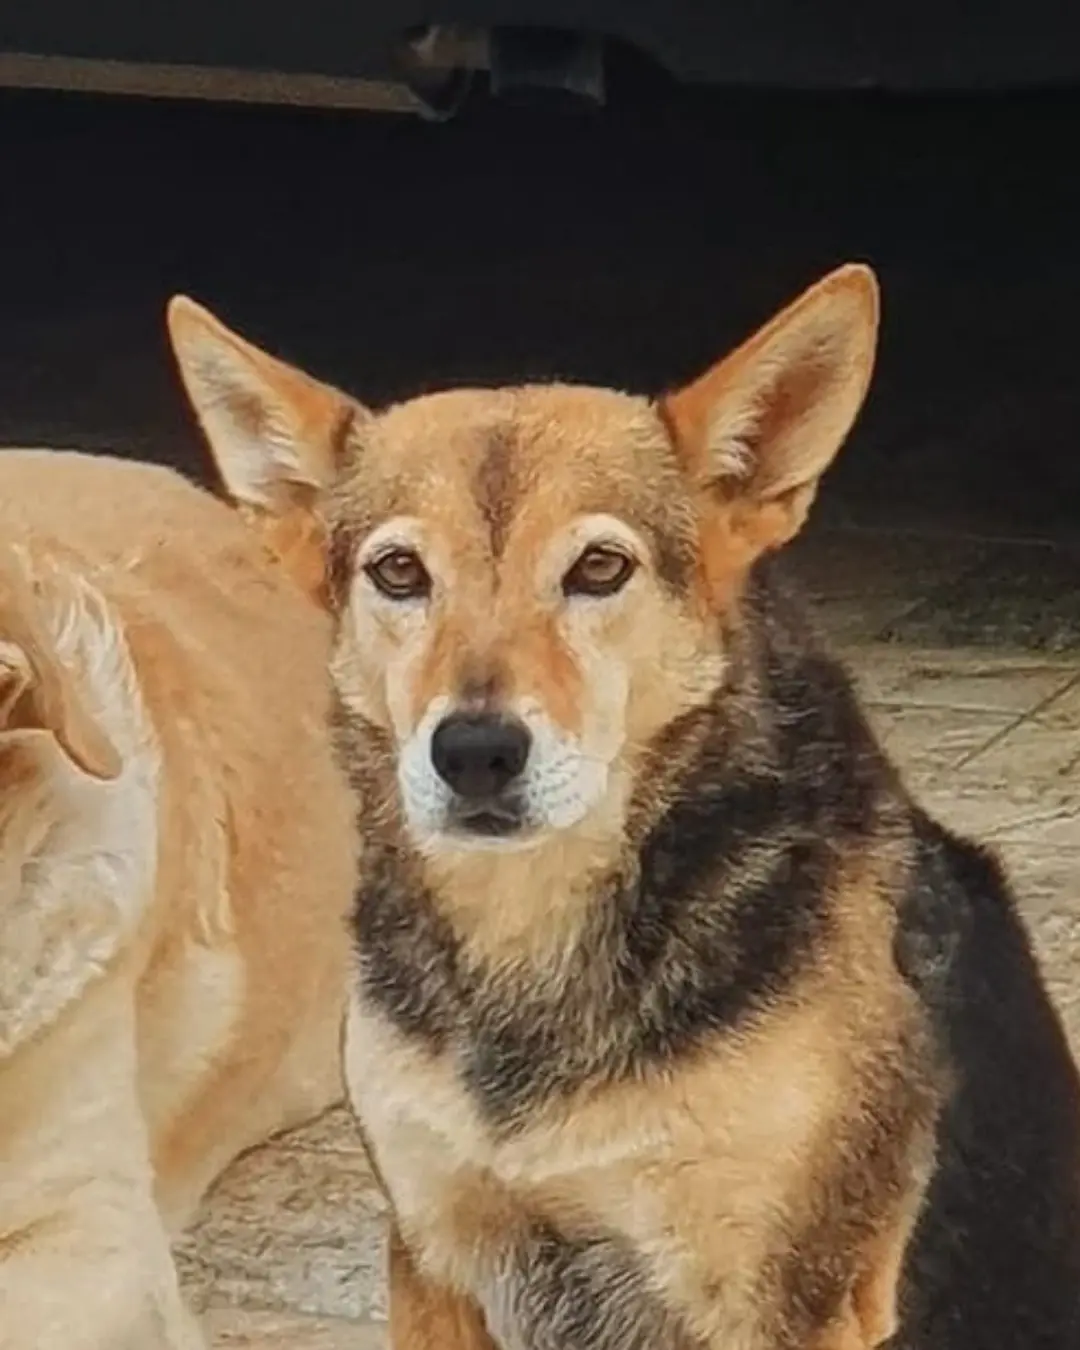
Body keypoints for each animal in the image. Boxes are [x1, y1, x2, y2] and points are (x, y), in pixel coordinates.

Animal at [164, 265, 1080, 1350]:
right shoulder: (433, 1250)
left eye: (599, 568)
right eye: (399, 572)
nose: (474, 753)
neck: (532, 943)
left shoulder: (786, 1297)